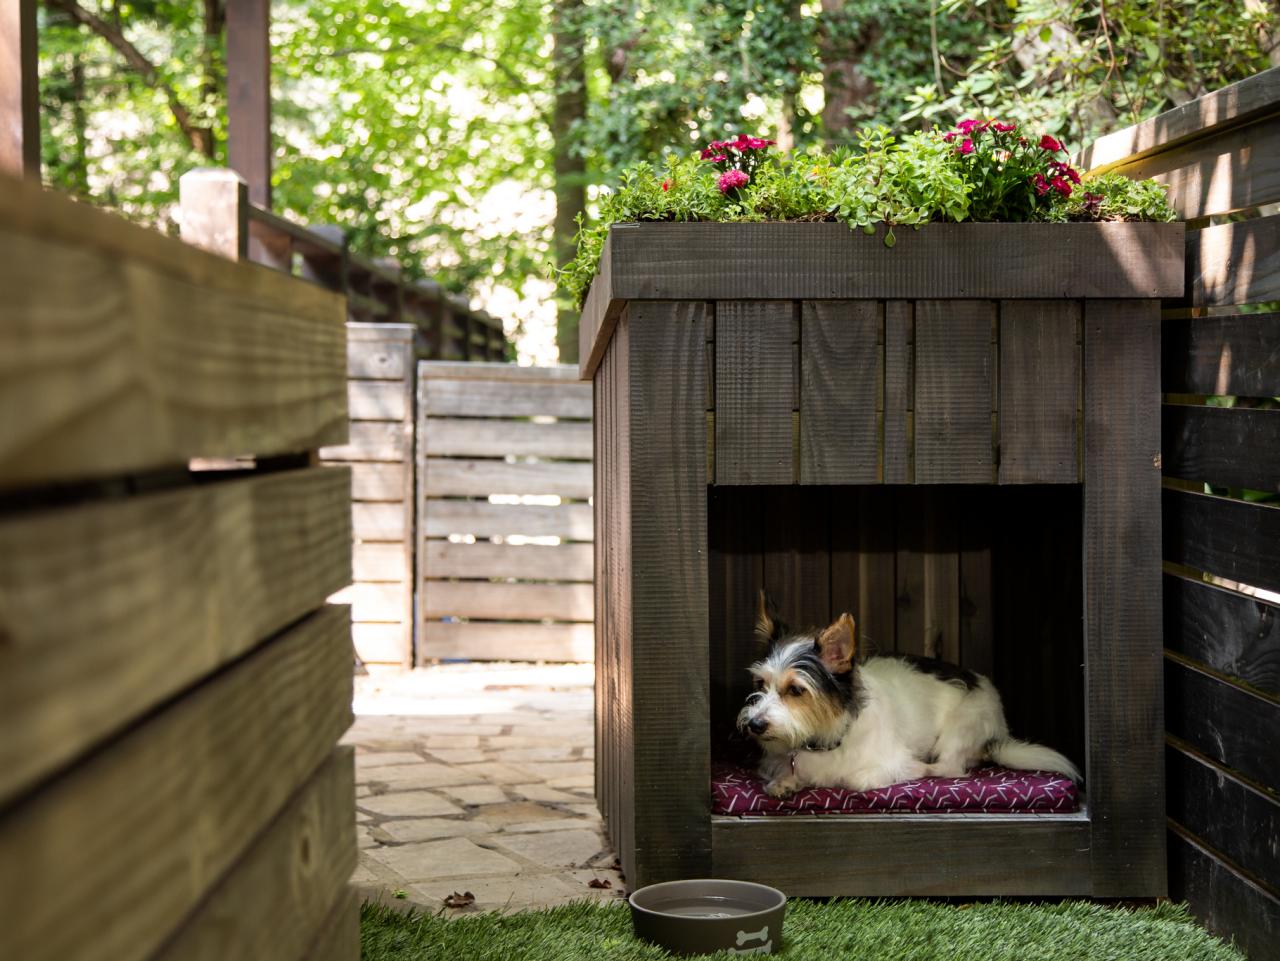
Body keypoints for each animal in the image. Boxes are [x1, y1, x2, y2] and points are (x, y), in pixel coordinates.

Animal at [732, 593, 1080, 798]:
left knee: (950, 768)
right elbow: (782, 773)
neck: (825, 738)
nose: (755, 725)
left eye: (796, 690)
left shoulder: (884, 763)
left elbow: (854, 780)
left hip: (960, 731)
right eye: (759, 683)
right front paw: (786, 782)